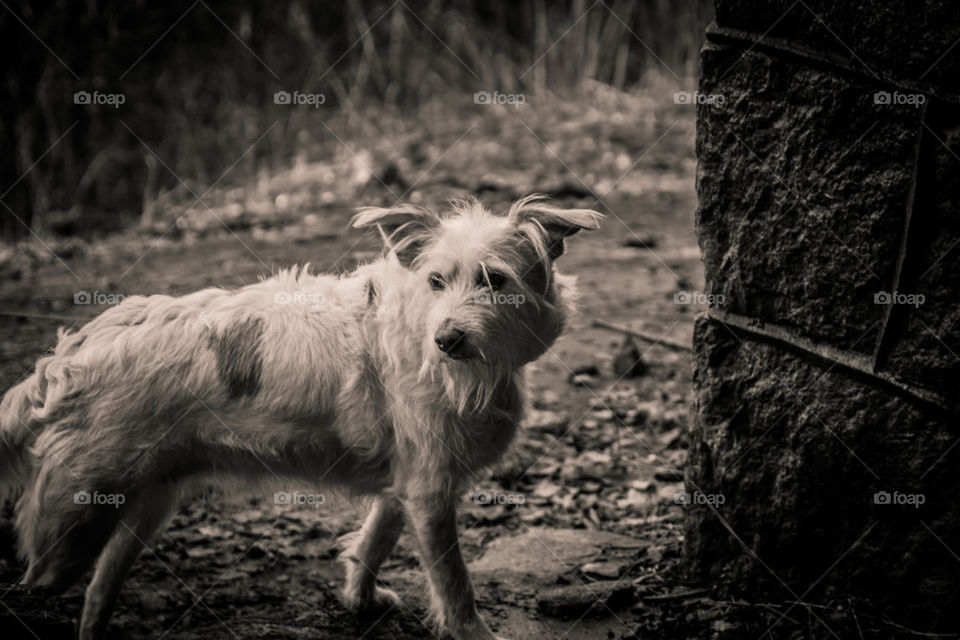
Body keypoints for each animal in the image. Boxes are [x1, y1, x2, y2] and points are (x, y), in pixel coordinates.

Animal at [0, 195, 600, 640]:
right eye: (435, 281)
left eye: (495, 281)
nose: (447, 340)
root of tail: (67, 357)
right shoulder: (430, 493)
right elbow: (454, 583)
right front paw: (471, 630)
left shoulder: (406, 484)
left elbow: (374, 541)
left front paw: (360, 600)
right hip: (70, 529)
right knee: (34, 584)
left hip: (143, 511)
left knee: (96, 594)